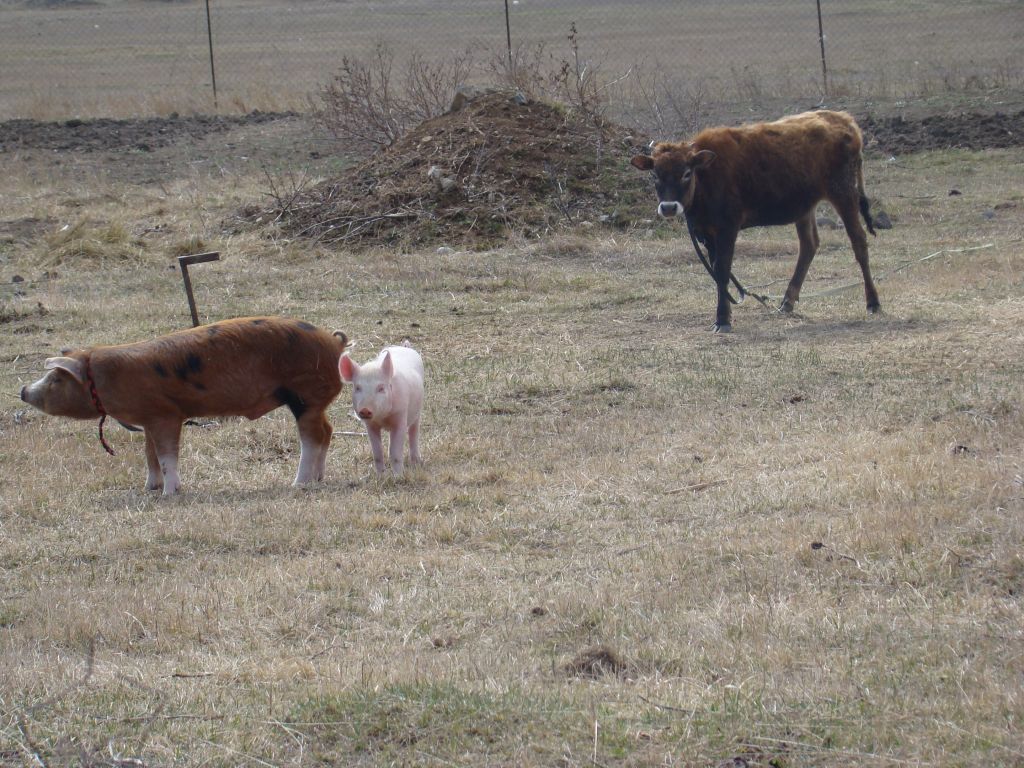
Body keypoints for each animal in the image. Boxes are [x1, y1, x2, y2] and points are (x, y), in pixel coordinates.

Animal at [18, 315, 348, 495]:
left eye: (55, 379)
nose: (22, 390)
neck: (101, 379)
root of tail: (335, 342)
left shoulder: (165, 415)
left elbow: (166, 455)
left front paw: (168, 493)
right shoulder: (148, 419)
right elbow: (149, 454)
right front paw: (148, 488)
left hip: (304, 394)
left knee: (312, 438)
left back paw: (298, 484)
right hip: (312, 402)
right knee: (327, 431)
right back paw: (317, 479)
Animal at [630, 109, 880, 331]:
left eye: (686, 173)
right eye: (655, 174)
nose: (669, 207)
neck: (707, 176)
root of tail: (844, 120)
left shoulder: (728, 228)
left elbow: (723, 269)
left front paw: (723, 319)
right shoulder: (707, 233)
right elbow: (716, 270)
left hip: (844, 193)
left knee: (858, 242)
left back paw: (873, 302)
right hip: (805, 207)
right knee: (809, 245)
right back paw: (787, 301)